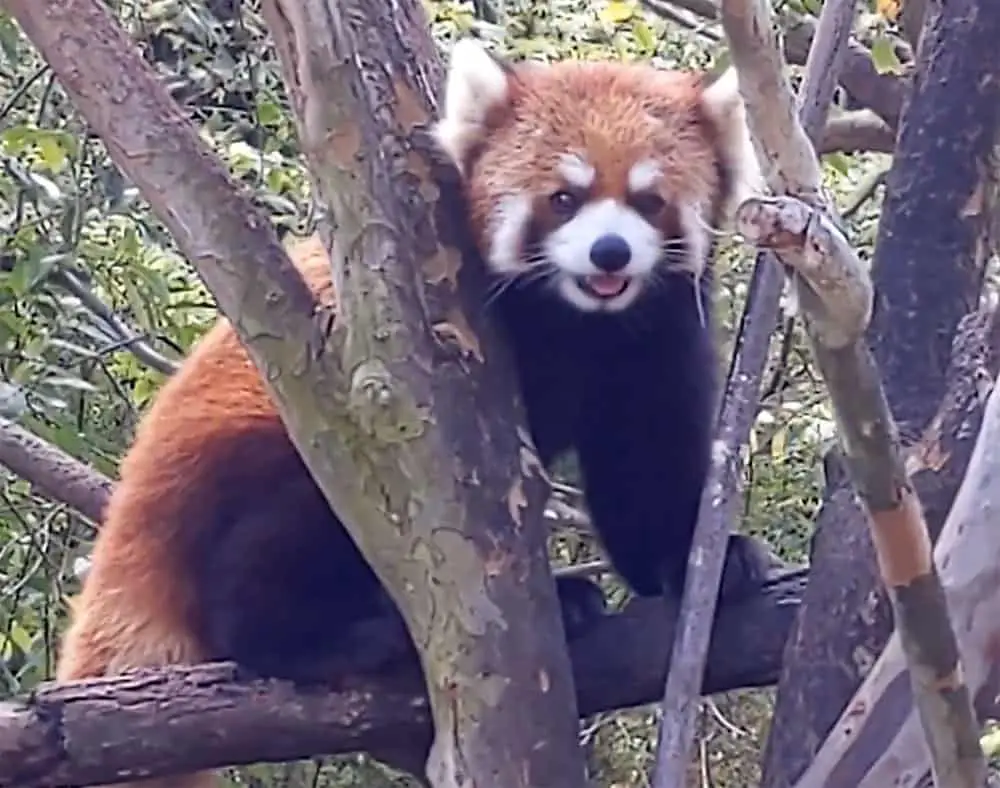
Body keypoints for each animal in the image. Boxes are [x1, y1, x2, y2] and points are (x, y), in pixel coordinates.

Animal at [56, 38, 764, 788]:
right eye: (563, 199)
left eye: (648, 200)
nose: (610, 251)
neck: (581, 321)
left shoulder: (655, 338)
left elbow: (645, 464)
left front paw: (705, 560)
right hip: (273, 455)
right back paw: (330, 635)